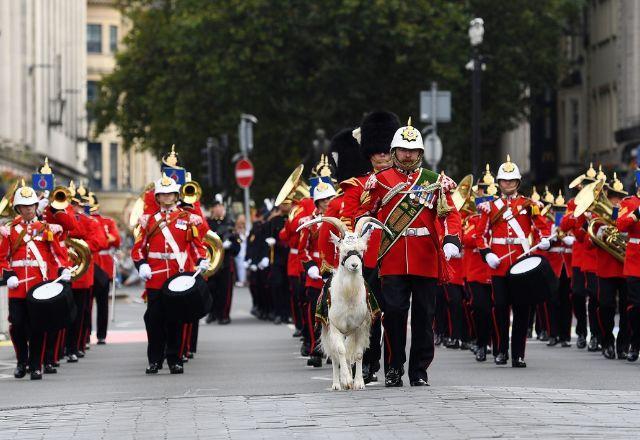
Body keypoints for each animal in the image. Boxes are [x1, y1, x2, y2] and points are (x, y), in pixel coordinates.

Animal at [298, 215, 388, 390]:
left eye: (361, 250)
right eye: (343, 250)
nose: (354, 265)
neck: (348, 297)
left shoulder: (360, 327)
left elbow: (357, 354)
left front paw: (358, 382)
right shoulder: (334, 326)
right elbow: (339, 351)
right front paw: (346, 380)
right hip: (327, 329)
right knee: (335, 355)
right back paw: (336, 384)